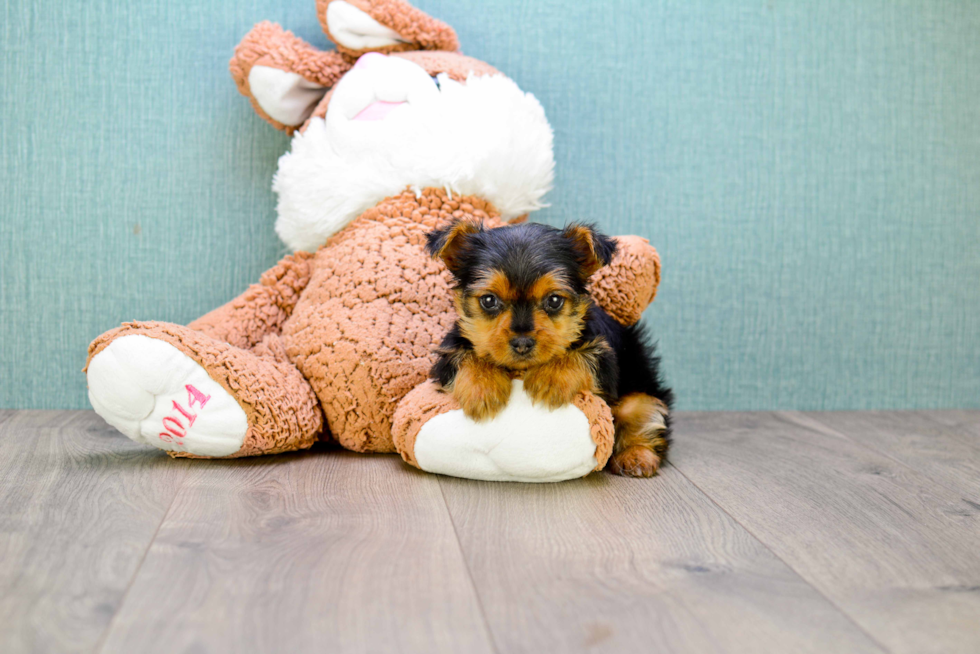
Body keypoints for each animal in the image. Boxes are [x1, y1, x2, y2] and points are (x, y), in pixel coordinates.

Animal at [428, 220, 672, 476]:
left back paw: (636, 457)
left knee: (643, 413)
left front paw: (550, 379)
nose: (522, 343)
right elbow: (464, 356)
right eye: (488, 300)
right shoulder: (449, 351)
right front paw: (482, 388)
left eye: (554, 301)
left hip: (639, 389)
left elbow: (582, 356)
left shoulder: (605, 358)